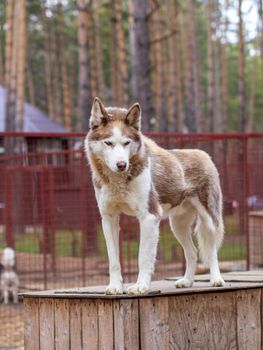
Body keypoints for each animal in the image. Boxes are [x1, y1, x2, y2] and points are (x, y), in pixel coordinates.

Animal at [85, 98, 226, 296]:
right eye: (108, 143)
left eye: (127, 143)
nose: (121, 164)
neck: (119, 181)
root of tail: (204, 154)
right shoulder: (109, 219)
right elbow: (113, 261)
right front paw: (115, 287)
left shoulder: (149, 217)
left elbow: (143, 258)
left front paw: (140, 286)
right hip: (178, 226)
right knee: (192, 253)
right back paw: (187, 282)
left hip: (209, 221)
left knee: (211, 251)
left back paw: (216, 280)